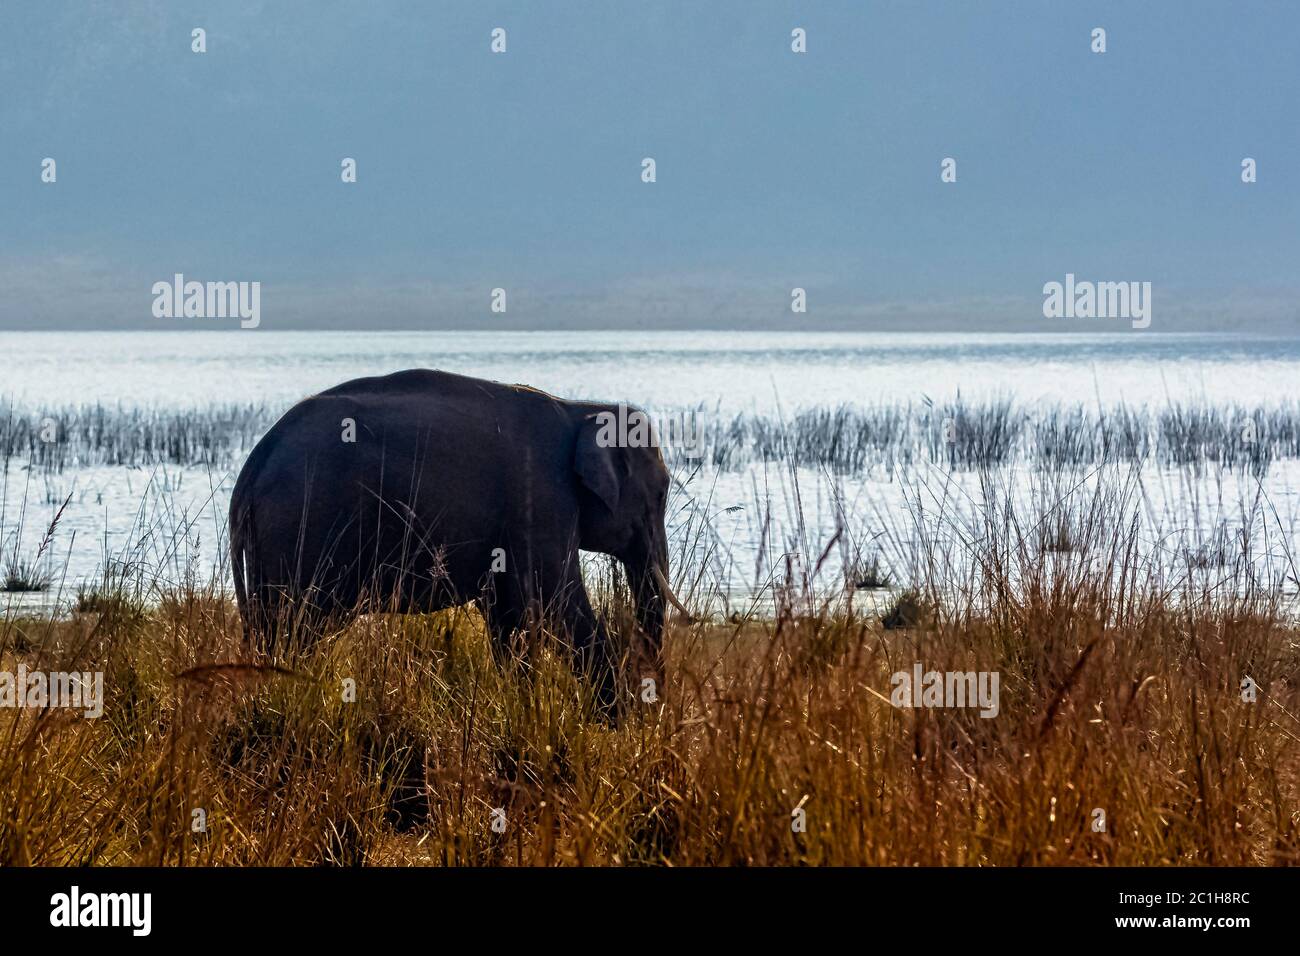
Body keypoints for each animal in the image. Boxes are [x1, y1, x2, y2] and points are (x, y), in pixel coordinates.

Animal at [228, 368, 688, 712]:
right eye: (660, 494)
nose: (655, 707)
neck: (582, 410)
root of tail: (253, 466)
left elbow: (507, 618)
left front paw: (522, 706)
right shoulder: (542, 498)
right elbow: (558, 602)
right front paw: (614, 722)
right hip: (298, 529)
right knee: (297, 629)